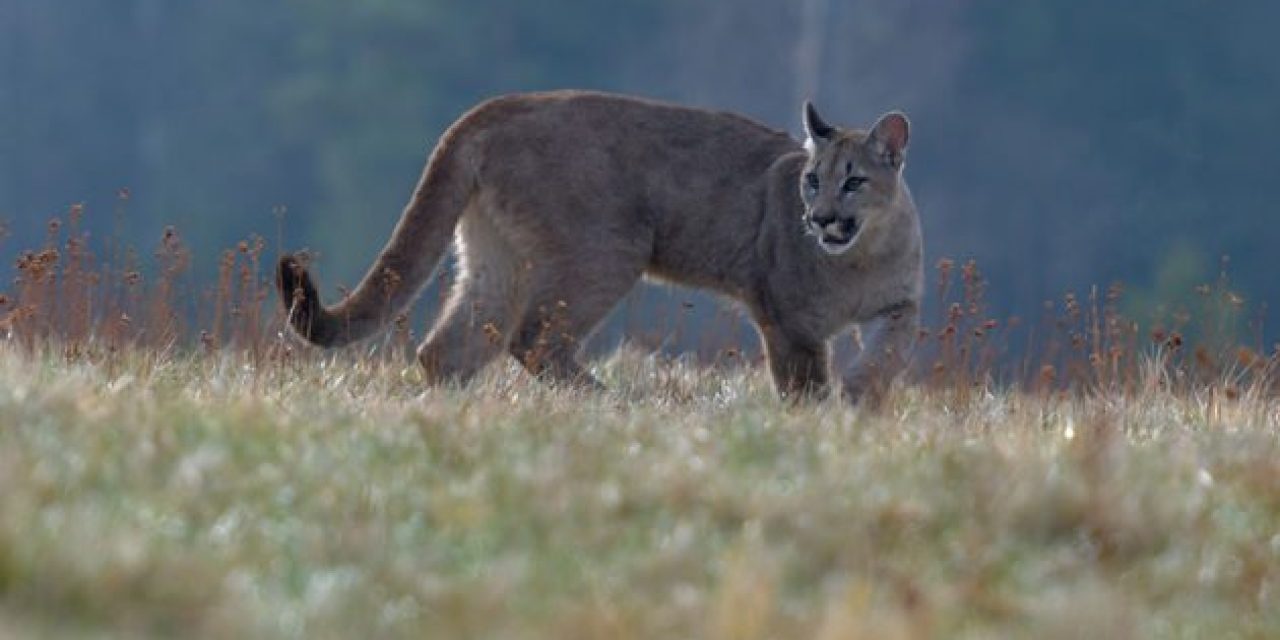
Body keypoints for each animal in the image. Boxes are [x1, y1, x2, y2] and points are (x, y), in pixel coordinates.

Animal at [277, 91, 921, 399]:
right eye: (812, 179)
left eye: (853, 181)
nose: (821, 217)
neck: (858, 259)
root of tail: (498, 105)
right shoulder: (786, 322)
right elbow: (803, 384)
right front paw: (818, 421)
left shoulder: (900, 306)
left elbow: (887, 355)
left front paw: (860, 400)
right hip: (608, 251)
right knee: (534, 339)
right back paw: (616, 404)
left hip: (498, 259)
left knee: (448, 348)